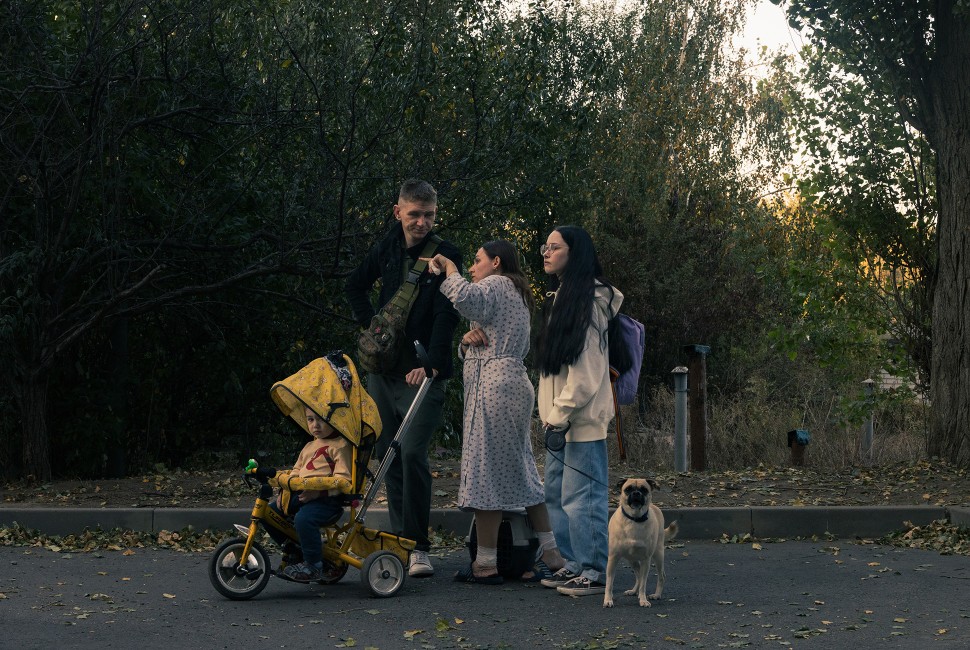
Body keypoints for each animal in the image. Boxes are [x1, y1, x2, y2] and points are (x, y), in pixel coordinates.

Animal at [600, 476, 676, 608]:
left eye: (644, 490)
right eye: (628, 489)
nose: (636, 493)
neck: (634, 519)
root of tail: (655, 507)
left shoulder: (646, 560)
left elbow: (644, 584)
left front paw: (643, 599)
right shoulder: (613, 559)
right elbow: (609, 583)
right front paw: (608, 599)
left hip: (658, 555)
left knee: (660, 576)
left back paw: (656, 595)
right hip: (632, 560)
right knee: (638, 576)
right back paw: (634, 591)